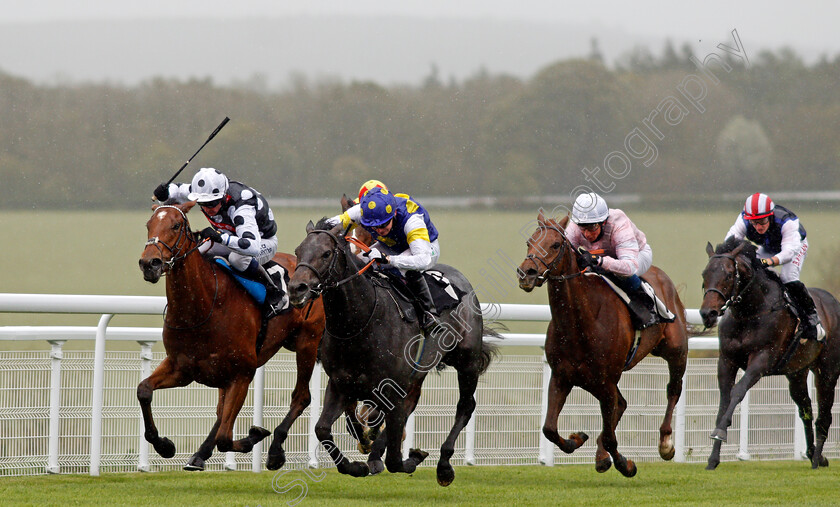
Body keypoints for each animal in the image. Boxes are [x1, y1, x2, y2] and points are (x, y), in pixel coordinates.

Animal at [138, 202, 324, 472]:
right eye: (149, 224)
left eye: (175, 225)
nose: (149, 263)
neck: (203, 305)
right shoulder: (181, 368)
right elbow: (144, 390)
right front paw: (164, 445)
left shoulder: (242, 373)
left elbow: (226, 437)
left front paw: (255, 436)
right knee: (221, 413)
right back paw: (199, 455)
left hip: (307, 342)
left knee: (301, 397)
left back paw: (275, 452)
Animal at [288, 219, 498, 488]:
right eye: (298, 251)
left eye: (325, 253)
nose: (296, 288)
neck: (359, 322)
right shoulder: (340, 383)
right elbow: (322, 429)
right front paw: (356, 465)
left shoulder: (390, 385)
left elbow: (396, 460)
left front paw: (413, 457)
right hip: (416, 373)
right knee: (409, 405)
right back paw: (375, 455)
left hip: (467, 361)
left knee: (465, 405)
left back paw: (444, 466)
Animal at [520, 212, 688, 478]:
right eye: (529, 241)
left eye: (555, 245)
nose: (526, 273)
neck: (580, 322)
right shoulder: (562, 376)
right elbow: (549, 428)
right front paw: (576, 439)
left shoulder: (606, 381)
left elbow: (611, 437)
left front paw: (625, 465)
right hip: (594, 381)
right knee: (621, 404)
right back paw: (600, 456)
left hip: (675, 351)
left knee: (673, 390)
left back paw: (665, 443)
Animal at [696, 240, 840, 470]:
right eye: (705, 274)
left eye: (728, 275)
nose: (707, 313)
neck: (749, 312)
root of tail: (834, 302)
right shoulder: (726, 360)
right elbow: (724, 400)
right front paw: (713, 458)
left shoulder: (761, 360)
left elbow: (738, 391)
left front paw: (720, 432)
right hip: (797, 373)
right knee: (806, 410)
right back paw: (812, 454)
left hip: (827, 371)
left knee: (824, 415)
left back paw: (817, 459)